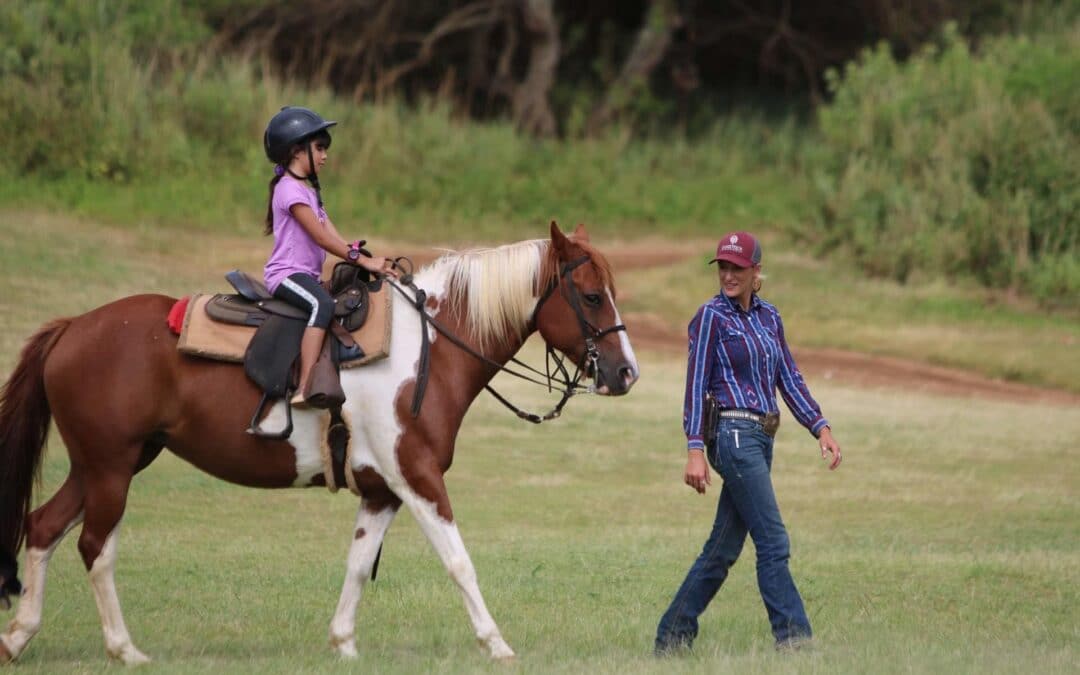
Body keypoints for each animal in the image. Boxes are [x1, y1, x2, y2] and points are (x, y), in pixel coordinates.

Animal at [0, 222, 635, 665]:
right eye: (591, 296)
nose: (626, 373)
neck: (427, 349)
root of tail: (74, 327)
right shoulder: (417, 477)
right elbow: (459, 561)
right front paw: (496, 643)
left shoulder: (382, 491)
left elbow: (357, 564)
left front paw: (343, 644)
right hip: (110, 468)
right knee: (96, 547)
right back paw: (123, 649)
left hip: (103, 464)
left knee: (44, 528)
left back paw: (19, 637)